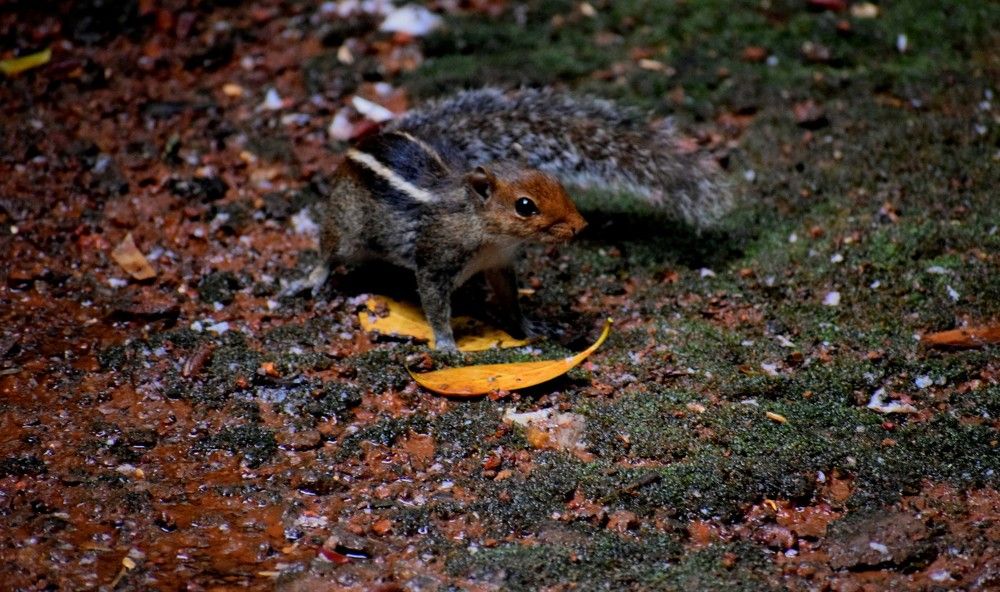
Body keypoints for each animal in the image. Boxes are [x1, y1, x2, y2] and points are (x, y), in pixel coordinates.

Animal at [306, 88, 732, 351]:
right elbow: (435, 303)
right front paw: (446, 343)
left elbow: (510, 299)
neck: (489, 234)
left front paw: (528, 327)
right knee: (329, 247)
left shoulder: (499, 264)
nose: (581, 227)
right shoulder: (436, 260)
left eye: (556, 182)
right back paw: (311, 279)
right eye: (525, 206)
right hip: (347, 225)